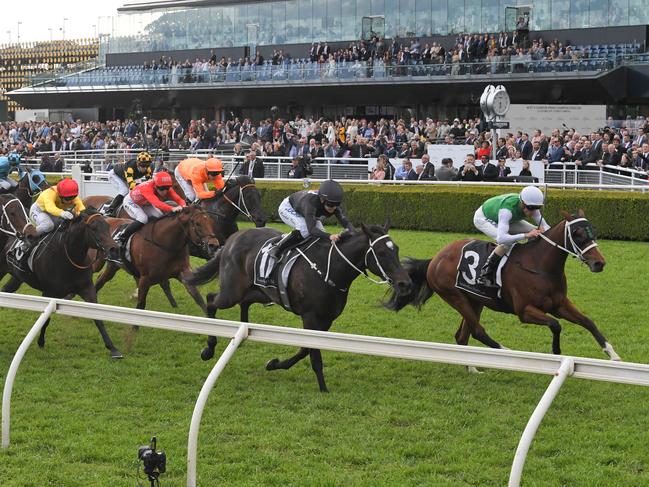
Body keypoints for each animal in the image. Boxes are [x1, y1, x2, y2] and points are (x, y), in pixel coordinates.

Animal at [0, 209, 123, 358]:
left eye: (107, 226)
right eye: (93, 228)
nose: (114, 249)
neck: (69, 257)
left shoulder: (87, 288)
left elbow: (98, 317)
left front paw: (113, 348)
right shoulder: (49, 292)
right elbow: (46, 319)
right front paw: (41, 342)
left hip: (17, 278)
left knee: (6, 290)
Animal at [185, 224, 412, 392]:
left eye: (397, 249)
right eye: (381, 253)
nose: (405, 284)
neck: (331, 268)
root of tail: (231, 239)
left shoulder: (326, 320)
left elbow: (304, 350)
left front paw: (274, 364)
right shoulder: (310, 317)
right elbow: (313, 354)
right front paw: (323, 388)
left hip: (260, 291)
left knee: (244, 302)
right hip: (231, 292)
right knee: (211, 300)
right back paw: (209, 348)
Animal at [384, 211, 616, 362]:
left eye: (593, 231)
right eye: (578, 234)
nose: (599, 263)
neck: (540, 266)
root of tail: (435, 259)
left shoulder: (559, 305)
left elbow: (588, 322)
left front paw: (613, 354)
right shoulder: (524, 311)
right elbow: (555, 324)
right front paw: (556, 352)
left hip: (475, 300)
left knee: (463, 335)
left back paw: (474, 368)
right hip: (455, 297)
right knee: (478, 331)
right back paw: (506, 352)